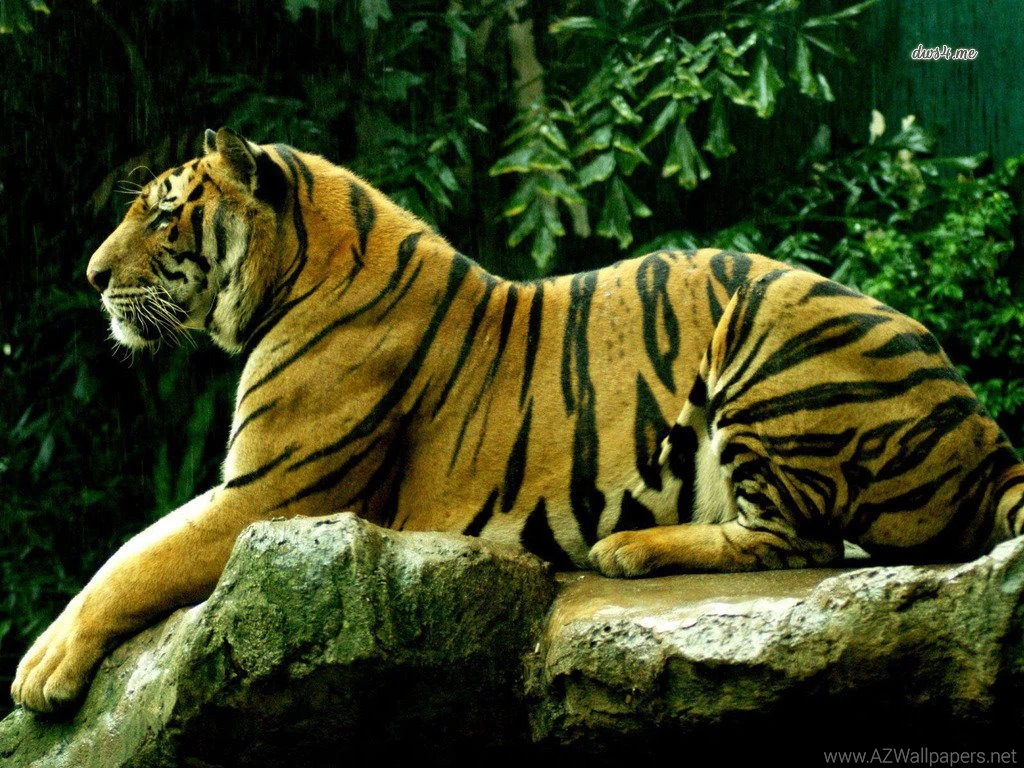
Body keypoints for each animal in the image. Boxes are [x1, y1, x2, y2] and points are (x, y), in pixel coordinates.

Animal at [11, 127, 1024, 714]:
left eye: (164, 215)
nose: (92, 277)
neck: (293, 274)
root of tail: (981, 426)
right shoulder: (251, 490)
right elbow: (133, 548)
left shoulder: (271, 496)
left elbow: (133, 562)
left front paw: (40, 669)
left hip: (769, 329)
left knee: (800, 543)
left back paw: (630, 550)